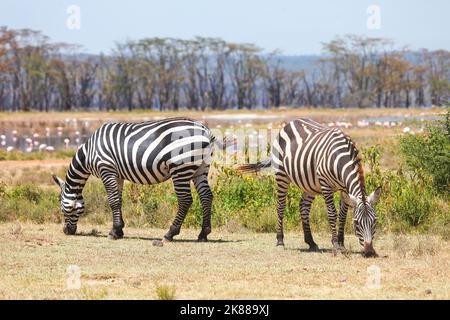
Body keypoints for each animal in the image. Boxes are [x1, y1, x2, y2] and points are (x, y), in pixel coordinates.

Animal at [52, 116, 218, 244]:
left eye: (62, 207)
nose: (67, 231)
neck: (89, 153)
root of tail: (205, 129)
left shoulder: (106, 169)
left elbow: (113, 201)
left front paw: (114, 232)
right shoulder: (117, 175)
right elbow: (118, 200)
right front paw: (119, 230)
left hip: (180, 167)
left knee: (185, 200)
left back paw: (170, 234)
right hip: (201, 168)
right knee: (206, 196)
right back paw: (203, 234)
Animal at [237, 118, 382, 258]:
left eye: (375, 221)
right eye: (357, 223)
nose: (369, 252)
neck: (340, 157)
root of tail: (291, 122)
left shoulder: (345, 189)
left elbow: (342, 215)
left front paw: (341, 244)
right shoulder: (326, 185)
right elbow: (332, 214)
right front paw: (336, 245)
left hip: (310, 184)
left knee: (303, 207)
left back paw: (310, 242)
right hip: (281, 174)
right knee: (281, 206)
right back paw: (280, 241)